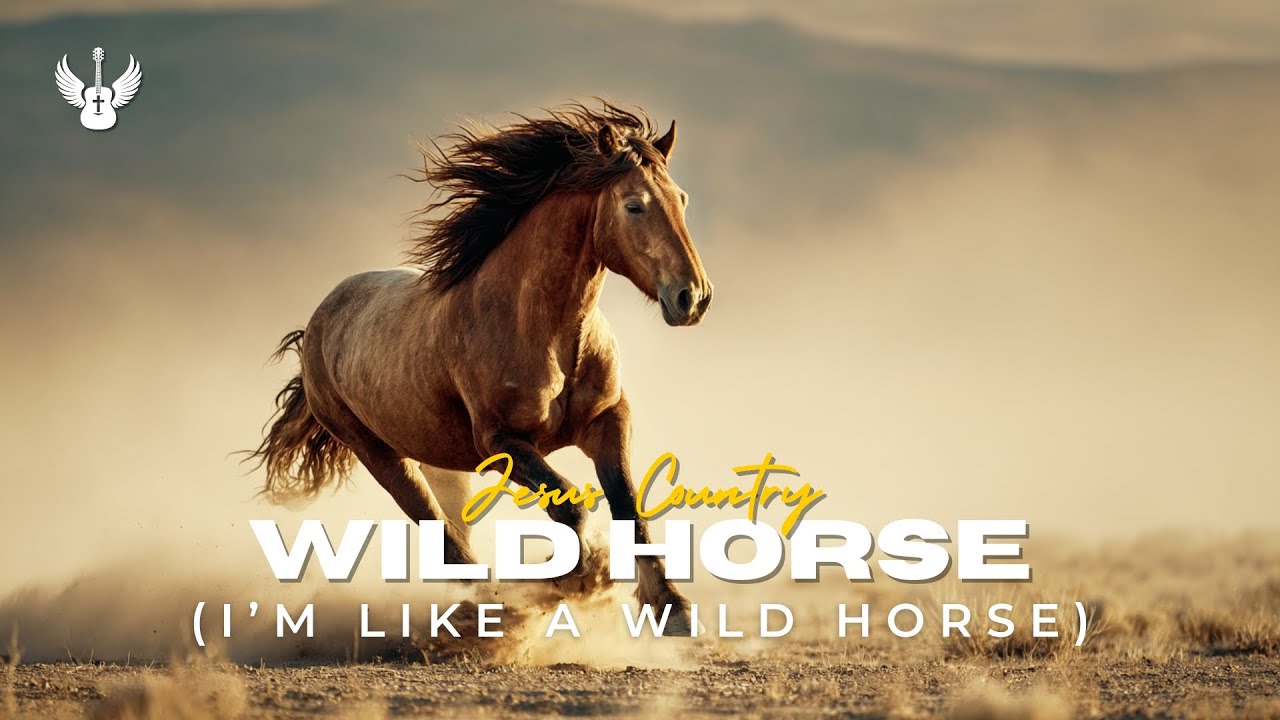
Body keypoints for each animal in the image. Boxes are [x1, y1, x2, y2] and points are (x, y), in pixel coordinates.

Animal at [249, 102, 712, 634]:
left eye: (681, 199)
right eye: (634, 205)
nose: (693, 297)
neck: (548, 336)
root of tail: (317, 326)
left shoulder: (607, 419)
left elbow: (628, 505)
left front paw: (672, 609)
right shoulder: (501, 442)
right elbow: (569, 503)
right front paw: (583, 580)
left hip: (443, 464)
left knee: (456, 532)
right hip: (380, 454)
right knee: (443, 537)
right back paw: (497, 614)